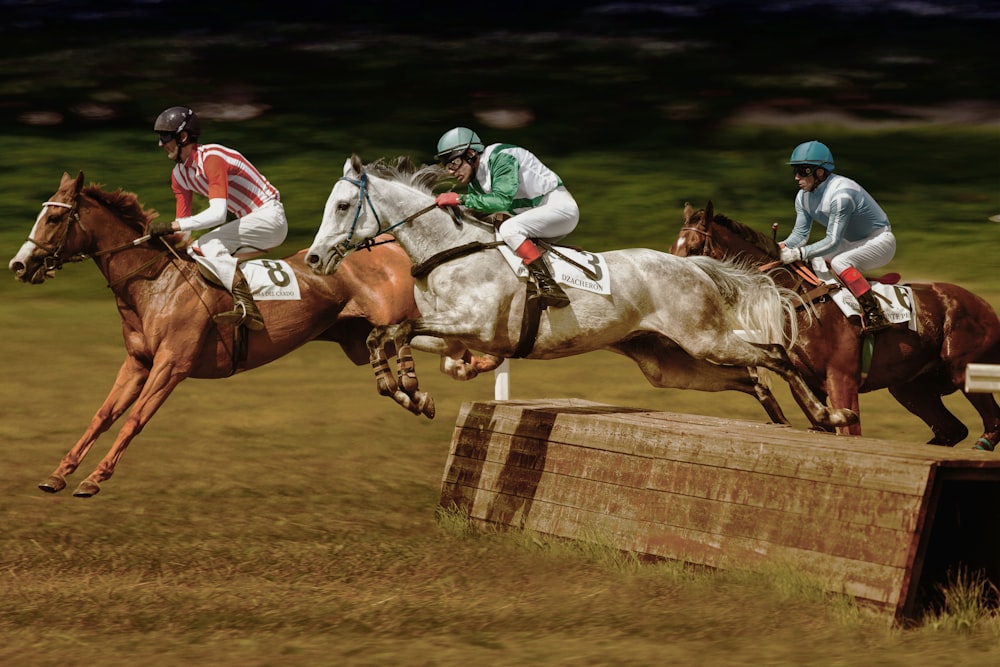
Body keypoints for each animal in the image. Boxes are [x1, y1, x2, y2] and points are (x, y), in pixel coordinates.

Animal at [7, 172, 436, 496]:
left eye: (54, 220)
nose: (19, 264)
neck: (154, 284)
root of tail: (389, 244)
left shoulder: (171, 366)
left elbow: (135, 419)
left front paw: (95, 479)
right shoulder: (138, 364)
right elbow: (102, 415)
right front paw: (59, 474)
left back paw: (417, 392)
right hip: (357, 337)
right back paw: (414, 395)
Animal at [306, 155, 860, 434]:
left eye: (344, 206)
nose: (312, 259)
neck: (450, 249)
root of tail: (693, 265)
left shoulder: (474, 326)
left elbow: (396, 329)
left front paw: (410, 388)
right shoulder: (451, 335)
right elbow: (384, 336)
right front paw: (407, 390)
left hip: (707, 339)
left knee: (775, 356)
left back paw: (827, 415)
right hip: (669, 362)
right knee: (750, 376)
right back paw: (787, 422)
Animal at [668, 201, 1000, 446]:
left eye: (694, 248)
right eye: (673, 248)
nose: (674, 283)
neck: (799, 299)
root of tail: (985, 305)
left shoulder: (842, 379)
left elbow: (849, 432)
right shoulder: (813, 386)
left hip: (962, 370)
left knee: (991, 423)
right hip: (910, 388)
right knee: (952, 430)